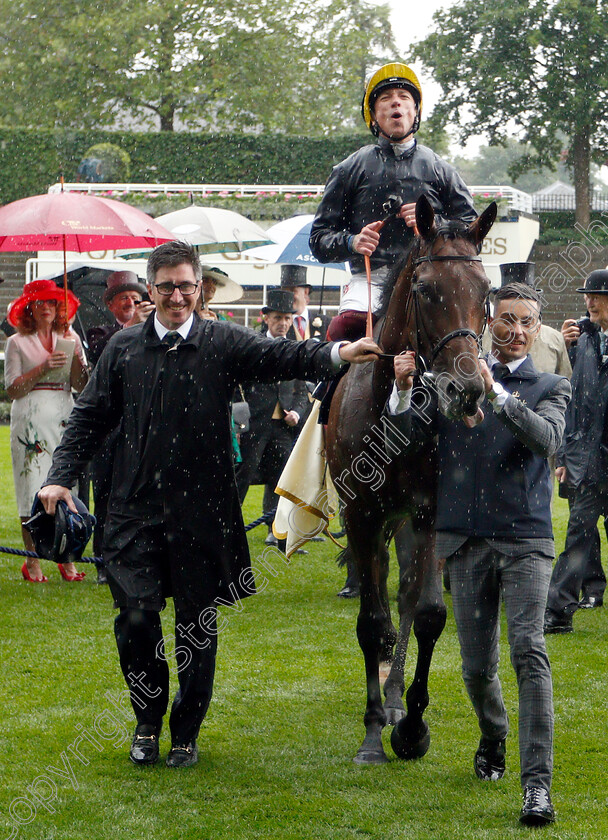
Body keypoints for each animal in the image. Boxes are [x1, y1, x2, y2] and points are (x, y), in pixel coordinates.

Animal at [326, 195, 496, 760]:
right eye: (425, 290)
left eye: (486, 292)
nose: (467, 390)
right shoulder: (361, 514)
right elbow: (371, 621)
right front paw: (373, 731)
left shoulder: (430, 513)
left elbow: (426, 614)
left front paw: (412, 723)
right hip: (377, 520)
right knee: (378, 590)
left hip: (404, 521)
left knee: (401, 595)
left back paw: (397, 697)